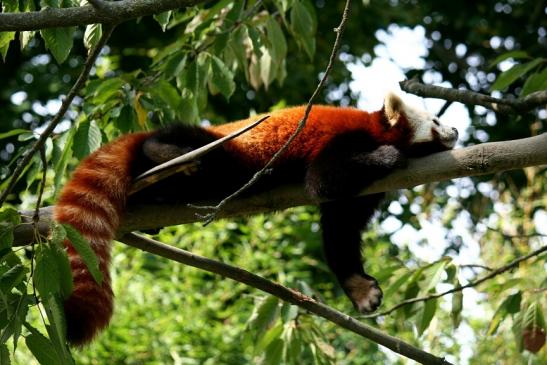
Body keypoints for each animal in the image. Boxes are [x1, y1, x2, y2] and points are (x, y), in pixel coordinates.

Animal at [54, 91, 458, 344]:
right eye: (437, 120)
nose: (456, 129)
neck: (377, 127)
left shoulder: (359, 197)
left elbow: (340, 231)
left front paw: (359, 289)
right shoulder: (344, 141)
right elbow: (322, 182)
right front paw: (389, 156)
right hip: (220, 147)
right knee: (185, 143)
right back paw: (167, 152)